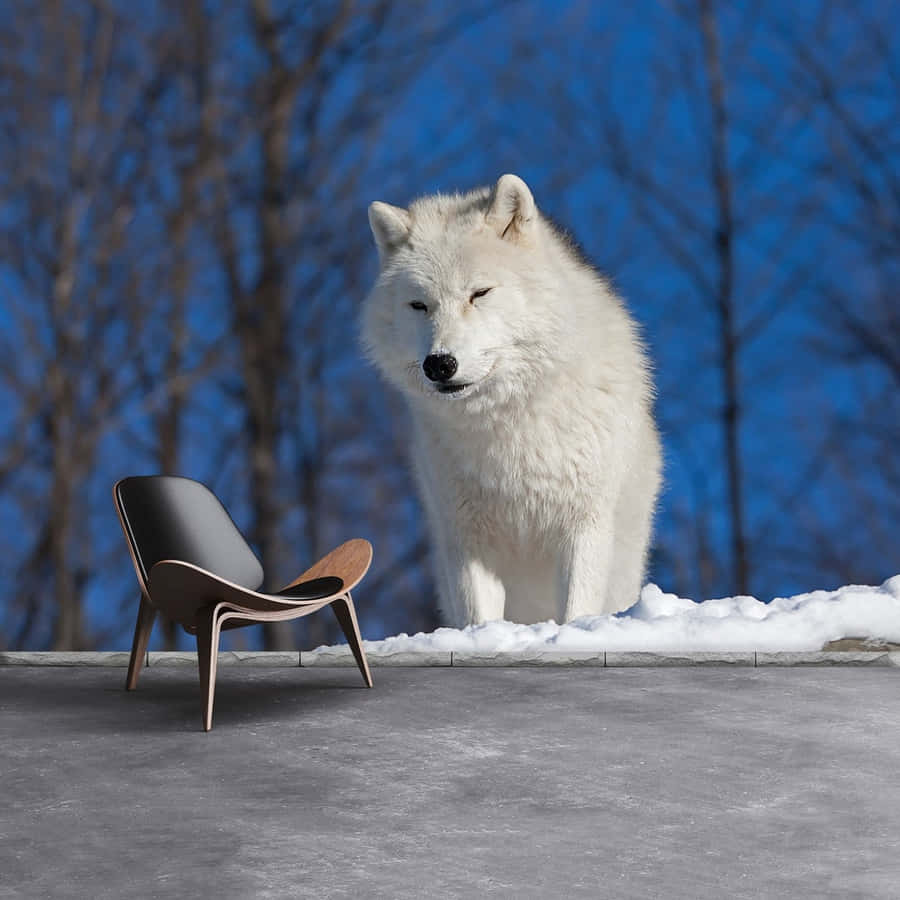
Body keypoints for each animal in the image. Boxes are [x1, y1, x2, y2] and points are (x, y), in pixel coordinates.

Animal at [360, 174, 662, 626]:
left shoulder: (584, 525)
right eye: (419, 305)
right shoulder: (468, 539)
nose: (439, 364)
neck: (509, 423)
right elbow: (479, 618)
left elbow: (576, 609)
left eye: (480, 293)